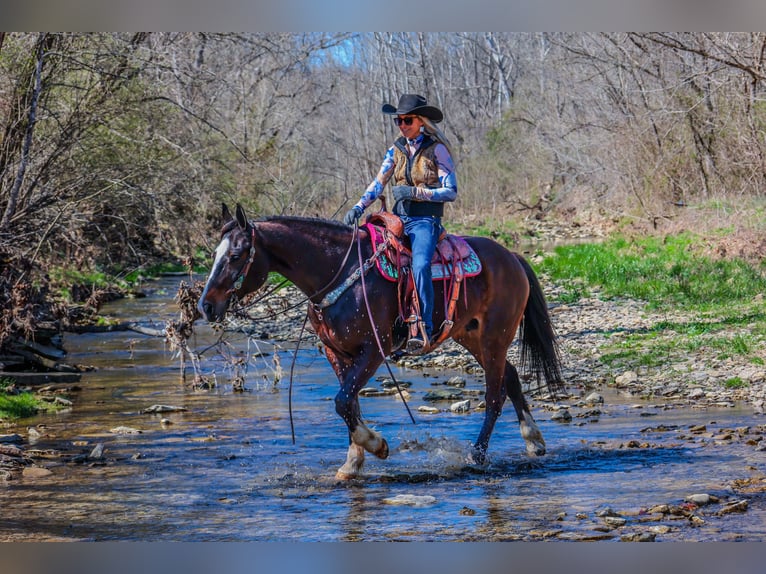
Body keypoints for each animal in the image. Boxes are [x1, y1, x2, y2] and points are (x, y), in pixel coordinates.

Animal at [196, 204, 564, 482]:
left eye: (237, 255)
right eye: (215, 254)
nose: (206, 306)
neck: (338, 270)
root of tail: (512, 256)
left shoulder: (374, 350)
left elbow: (342, 401)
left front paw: (377, 445)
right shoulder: (336, 352)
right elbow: (349, 404)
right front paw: (352, 463)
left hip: (494, 337)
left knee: (494, 395)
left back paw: (478, 455)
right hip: (470, 335)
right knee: (511, 376)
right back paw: (534, 441)